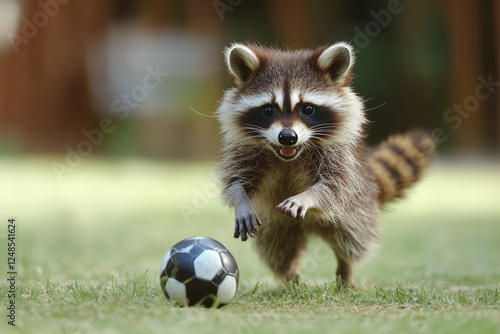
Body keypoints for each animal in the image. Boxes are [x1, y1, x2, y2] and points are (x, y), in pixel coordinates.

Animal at [217, 42, 436, 288]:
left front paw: (307, 197)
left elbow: (335, 186)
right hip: (276, 225)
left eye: (308, 109)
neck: (290, 155)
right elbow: (236, 181)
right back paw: (290, 277)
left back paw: (345, 269)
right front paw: (241, 201)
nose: (287, 137)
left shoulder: (338, 158)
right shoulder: (245, 152)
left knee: (352, 239)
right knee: (279, 250)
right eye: (268, 110)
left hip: (357, 209)